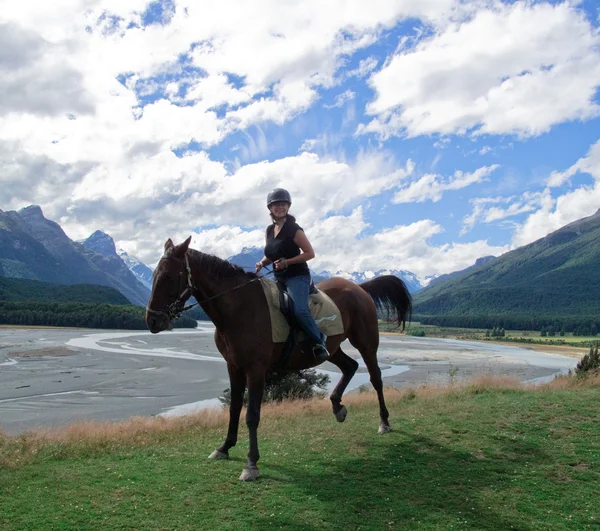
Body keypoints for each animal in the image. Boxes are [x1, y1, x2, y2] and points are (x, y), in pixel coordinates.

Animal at [145, 237, 412, 482]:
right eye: (154, 275)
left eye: (169, 276)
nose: (152, 320)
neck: (239, 308)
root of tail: (359, 287)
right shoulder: (234, 367)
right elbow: (234, 408)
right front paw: (225, 447)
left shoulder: (255, 370)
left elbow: (252, 415)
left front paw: (251, 464)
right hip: (332, 348)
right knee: (350, 367)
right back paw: (337, 407)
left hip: (366, 344)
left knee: (376, 378)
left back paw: (384, 421)